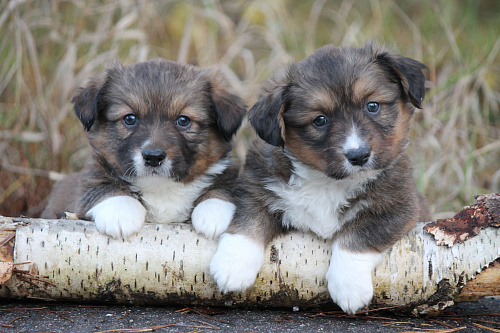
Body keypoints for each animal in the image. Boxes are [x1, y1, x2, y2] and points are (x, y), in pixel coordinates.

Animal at [43, 58, 246, 240]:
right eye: (130, 118)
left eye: (183, 120)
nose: (153, 157)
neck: (162, 189)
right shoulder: (87, 186)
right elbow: (103, 187)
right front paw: (121, 211)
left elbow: (222, 189)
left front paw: (215, 211)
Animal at [209, 42, 432, 312]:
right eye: (320, 120)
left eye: (372, 106)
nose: (358, 156)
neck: (329, 182)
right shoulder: (258, 188)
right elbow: (248, 223)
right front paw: (232, 265)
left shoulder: (398, 207)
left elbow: (358, 237)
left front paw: (349, 287)